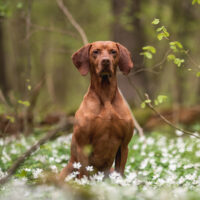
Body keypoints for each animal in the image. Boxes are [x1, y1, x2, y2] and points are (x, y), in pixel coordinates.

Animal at [59, 41, 134, 181]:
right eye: (95, 52)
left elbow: (120, 172)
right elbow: (84, 173)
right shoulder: (83, 145)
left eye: (113, 51)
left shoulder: (124, 145)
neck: (105, 95)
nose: (105, 61)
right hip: (69, 168)